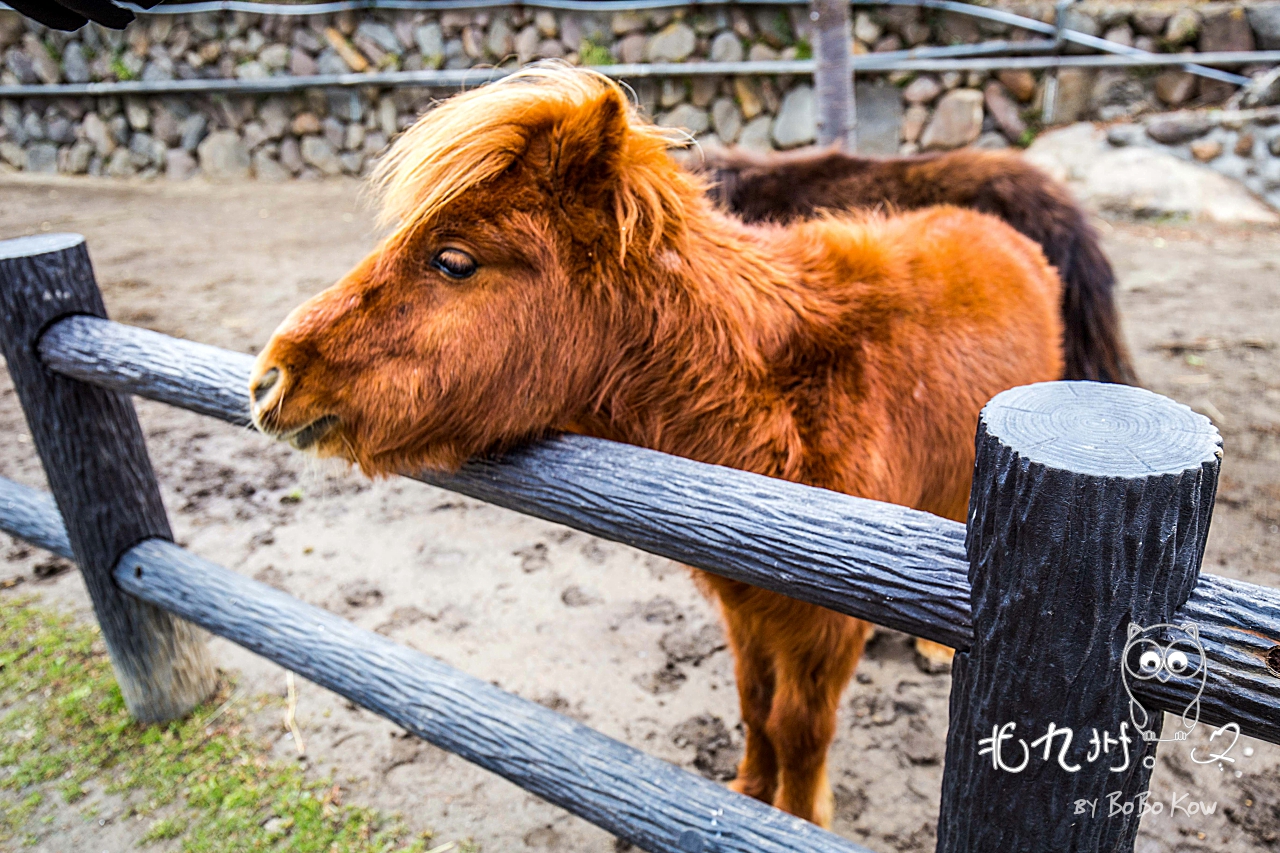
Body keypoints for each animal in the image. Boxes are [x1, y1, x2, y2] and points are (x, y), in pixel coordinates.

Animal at [244, 66, 1064, 824]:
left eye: (453, 259)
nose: (270, 378)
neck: (775, 400)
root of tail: (1004, 237)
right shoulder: (745, 606)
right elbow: (757, 707)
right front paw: (747, 796)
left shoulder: (823, 630)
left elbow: (801, 729)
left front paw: (796, 816)